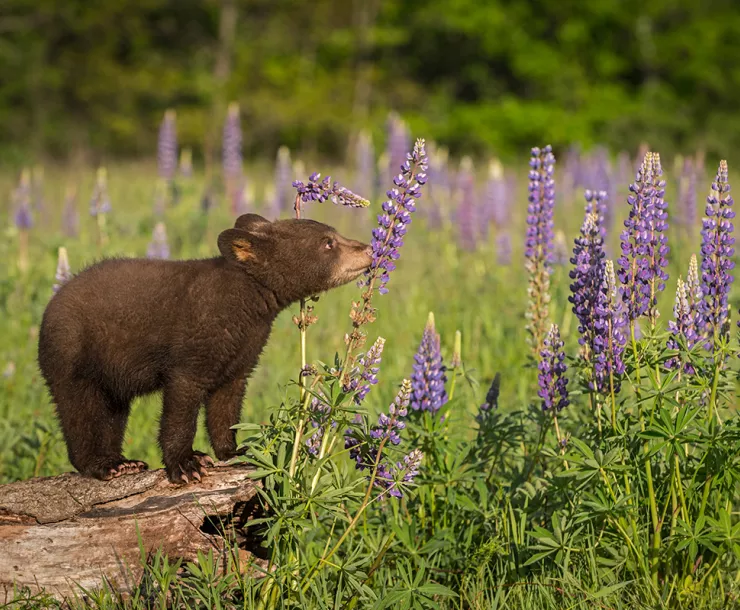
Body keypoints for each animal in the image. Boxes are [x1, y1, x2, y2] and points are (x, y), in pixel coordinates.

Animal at [37, 213, 372, 483]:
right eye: (328, 242)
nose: (368, 248)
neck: (247, 303)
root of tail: (50, 306)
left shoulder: (242, 351)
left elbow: (226, 403)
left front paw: (235, 450)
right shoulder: (194, 348)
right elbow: (181, 408)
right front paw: (186, 465)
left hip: (112, 379)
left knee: (112, 414)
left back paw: (123, 462)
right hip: (72, 358)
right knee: (79, 412)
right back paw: (102, 465)